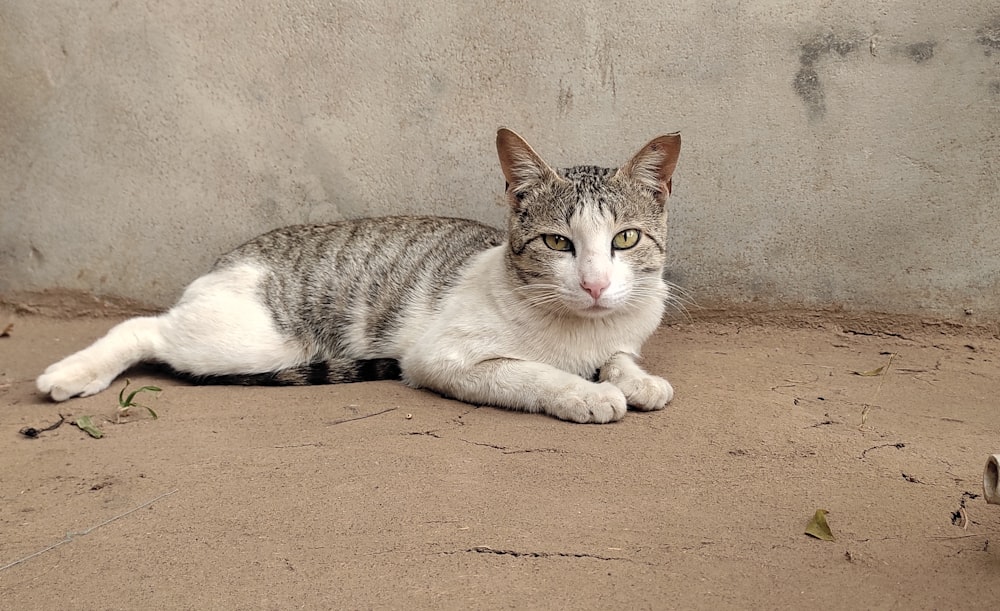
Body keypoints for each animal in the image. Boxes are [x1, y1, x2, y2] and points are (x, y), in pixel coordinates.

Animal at [37, 128, 680, 426]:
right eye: (556, 242)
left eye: (625, 239)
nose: (595, 284)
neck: (580, 330)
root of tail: (229, 258)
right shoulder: (439, 358)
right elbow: (528, 373)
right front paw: (585, 393)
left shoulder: (623, 332)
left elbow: (621, 357)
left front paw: (638, 380)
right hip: (252, 342)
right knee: (147, 328)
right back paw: (71, 374)